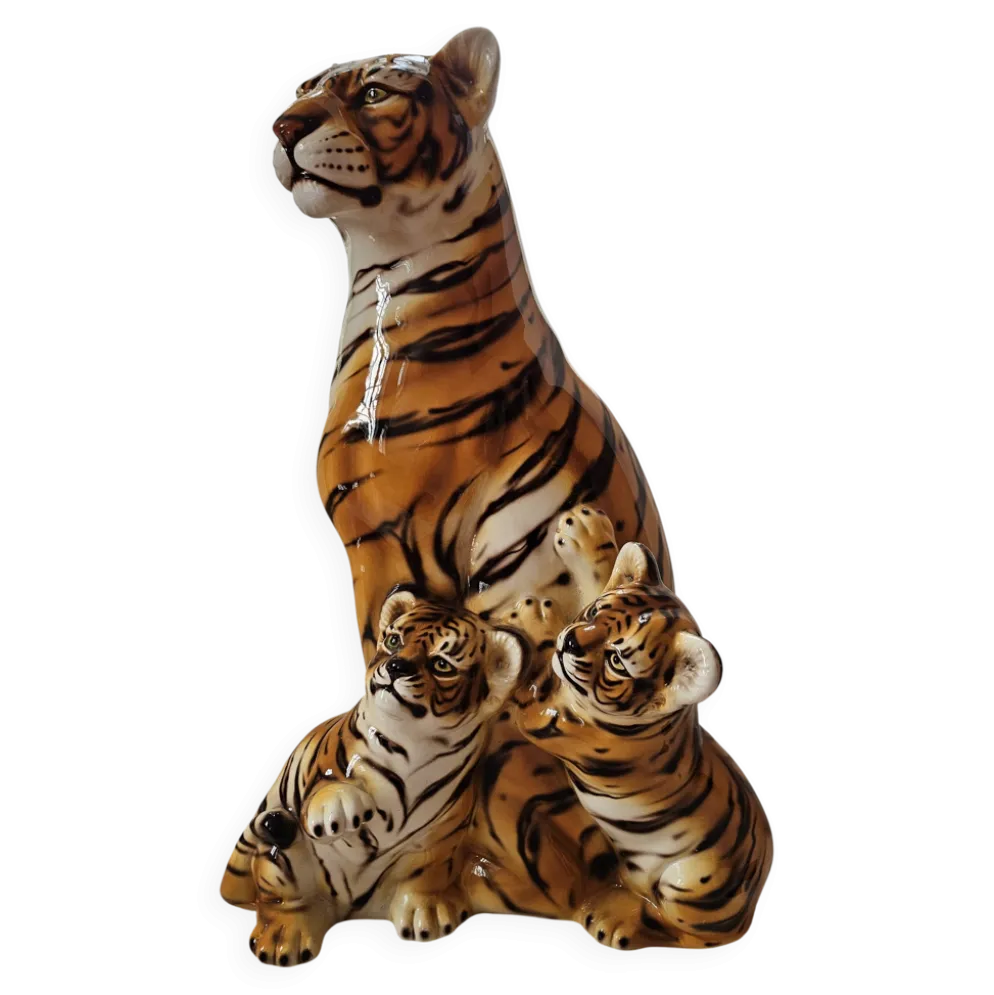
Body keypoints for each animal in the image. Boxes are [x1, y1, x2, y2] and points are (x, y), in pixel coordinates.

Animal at [218, 591, 526, 967]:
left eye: (442, 665)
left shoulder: (441, 836)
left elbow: (423, 875)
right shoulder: (325, 767)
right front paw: (338, 809)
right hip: (278, 850)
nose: (397, 667)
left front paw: (425, 915)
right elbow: (330, 784)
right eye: (394, 642)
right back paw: (283, 938)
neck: (414, 743)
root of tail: (351, 910)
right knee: (282, 892)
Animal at [514, 533, 775, 951]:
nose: (570, 643)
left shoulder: (546, 718)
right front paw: (585, 540)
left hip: (686, 885)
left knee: (686, 934)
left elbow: (538, 668)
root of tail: (748, 913)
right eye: (592, 614)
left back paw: (615, 918)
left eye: (617, 661)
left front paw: (534, 616)